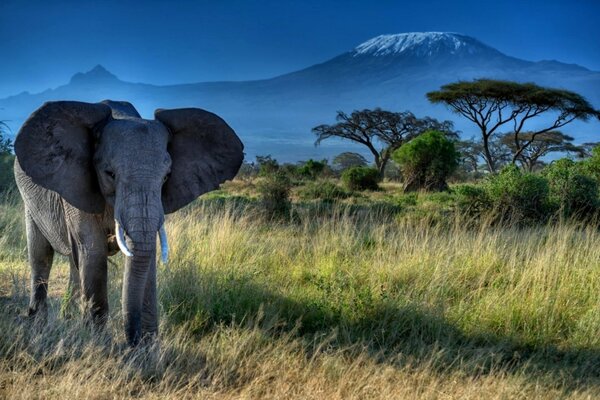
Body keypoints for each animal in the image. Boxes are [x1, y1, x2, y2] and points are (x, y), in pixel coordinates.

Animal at [13, 99, 244, 344]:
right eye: (110, 174)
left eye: (166, 177)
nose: (131, 342)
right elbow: (93, 251)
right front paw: (98, 343)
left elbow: (146, 255)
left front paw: (148, 347)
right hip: (29, 198)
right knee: (41, 254)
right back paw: (37, 322)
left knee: (74, 262)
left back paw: (68, 318)